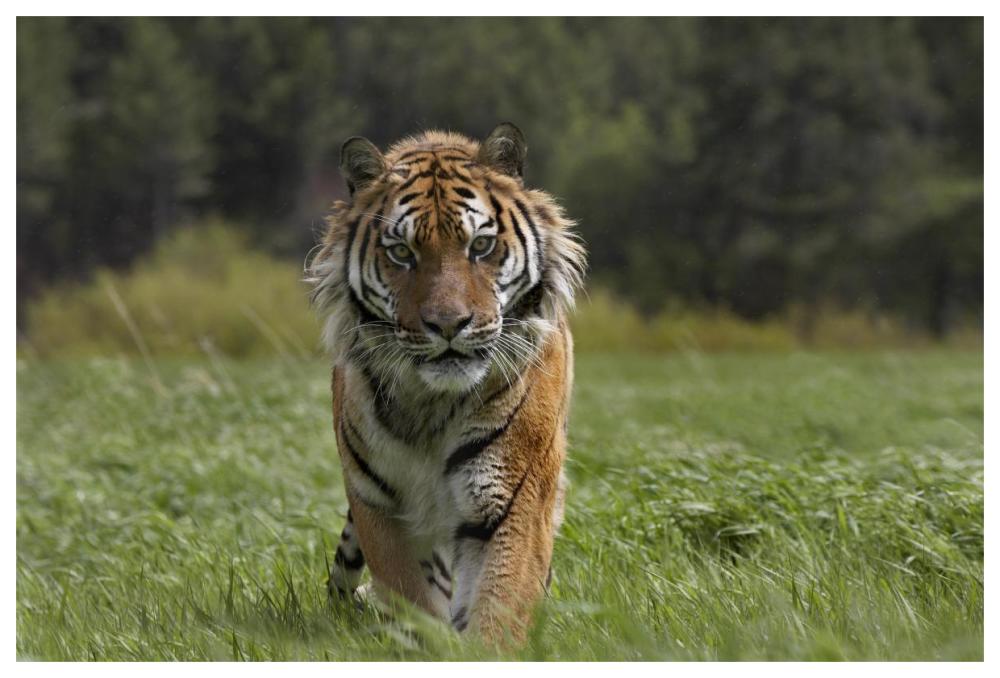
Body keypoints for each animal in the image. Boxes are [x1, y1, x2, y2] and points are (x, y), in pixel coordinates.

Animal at [307, 123, 586, 644]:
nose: (449, 324)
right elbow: (414, 601)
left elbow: (498, 604)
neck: (432, 404)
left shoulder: (511, 500)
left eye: (480, 246)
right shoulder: (383, 505)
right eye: (402, 253)